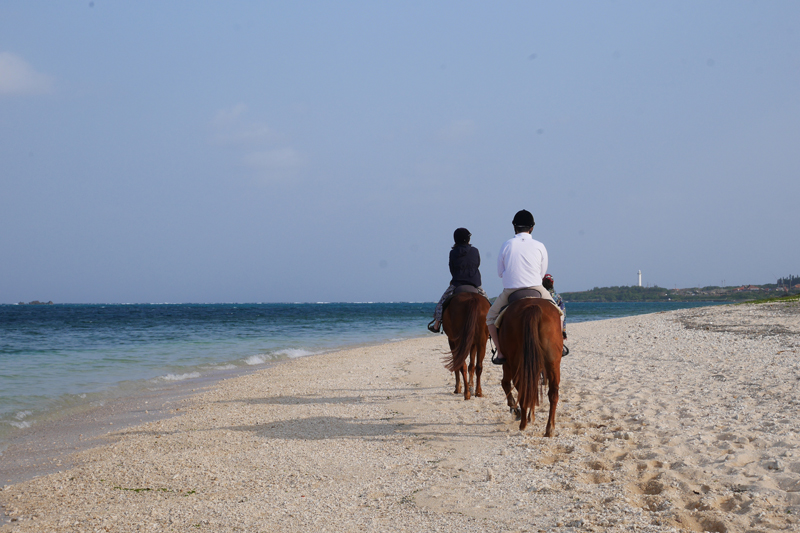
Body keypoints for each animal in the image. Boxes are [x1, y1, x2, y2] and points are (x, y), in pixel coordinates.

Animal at [494, 298, 564, 434]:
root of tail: (532, 306)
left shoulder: (507, 364)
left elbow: (505, 383)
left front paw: (517, 411)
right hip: (552, 362)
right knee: (552, 393)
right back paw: (549, 428)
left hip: (515, 363)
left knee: (521, 388)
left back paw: (523, 423)